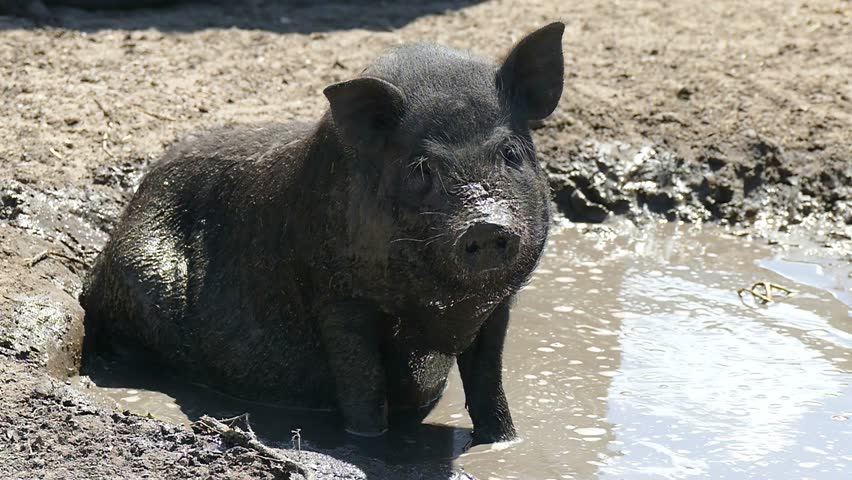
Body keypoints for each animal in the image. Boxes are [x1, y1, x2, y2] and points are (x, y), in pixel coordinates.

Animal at [81, 22, 565, 443]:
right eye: (422, 168)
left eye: (509, 152)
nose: (485, 223)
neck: (446, 311)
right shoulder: (336, 296)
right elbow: (361, 382)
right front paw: (369, 444)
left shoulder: (497, 306)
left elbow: (488, 382)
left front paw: (504, 442)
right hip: (141, 275)